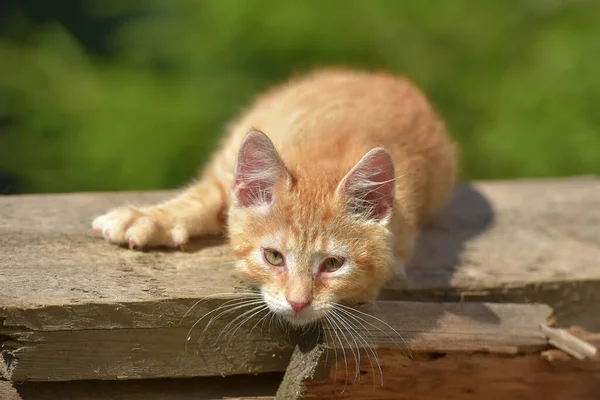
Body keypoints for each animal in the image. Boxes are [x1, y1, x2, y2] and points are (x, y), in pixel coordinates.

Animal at [92, 68, 454, 324]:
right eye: (274, 257)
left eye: (333, 264)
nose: (298, 302)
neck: (324, 160)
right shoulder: (226, 179)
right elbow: (201, 198)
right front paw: (147, 219)